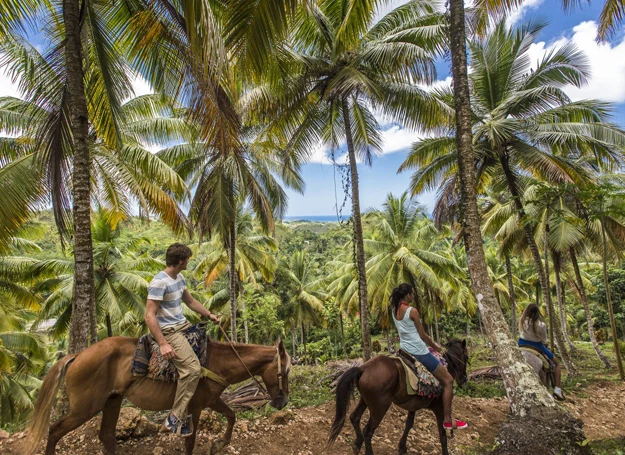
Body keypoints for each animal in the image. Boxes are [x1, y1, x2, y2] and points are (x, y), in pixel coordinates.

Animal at [23, 334, 288, 455]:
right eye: (284, 371)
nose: (283, 402)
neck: (216, 362)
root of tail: (77, 356)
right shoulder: (195, 406)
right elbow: (190, 440)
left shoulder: (212, 400)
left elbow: (232, 416)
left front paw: (218, 444)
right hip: (85, 408)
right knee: (55, 430)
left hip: (112, 401)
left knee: (106, 435)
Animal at [330, 342, 466, 455]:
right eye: (466, 358)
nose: (464, 379)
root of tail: (363, 368)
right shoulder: (440, 409)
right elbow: (442, 435)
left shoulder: (413, 405)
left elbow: (409, 424)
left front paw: (402, 447)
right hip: (380, 407)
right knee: (368, 431)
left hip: (365, 400)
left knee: (355, 417)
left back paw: (357, 444)